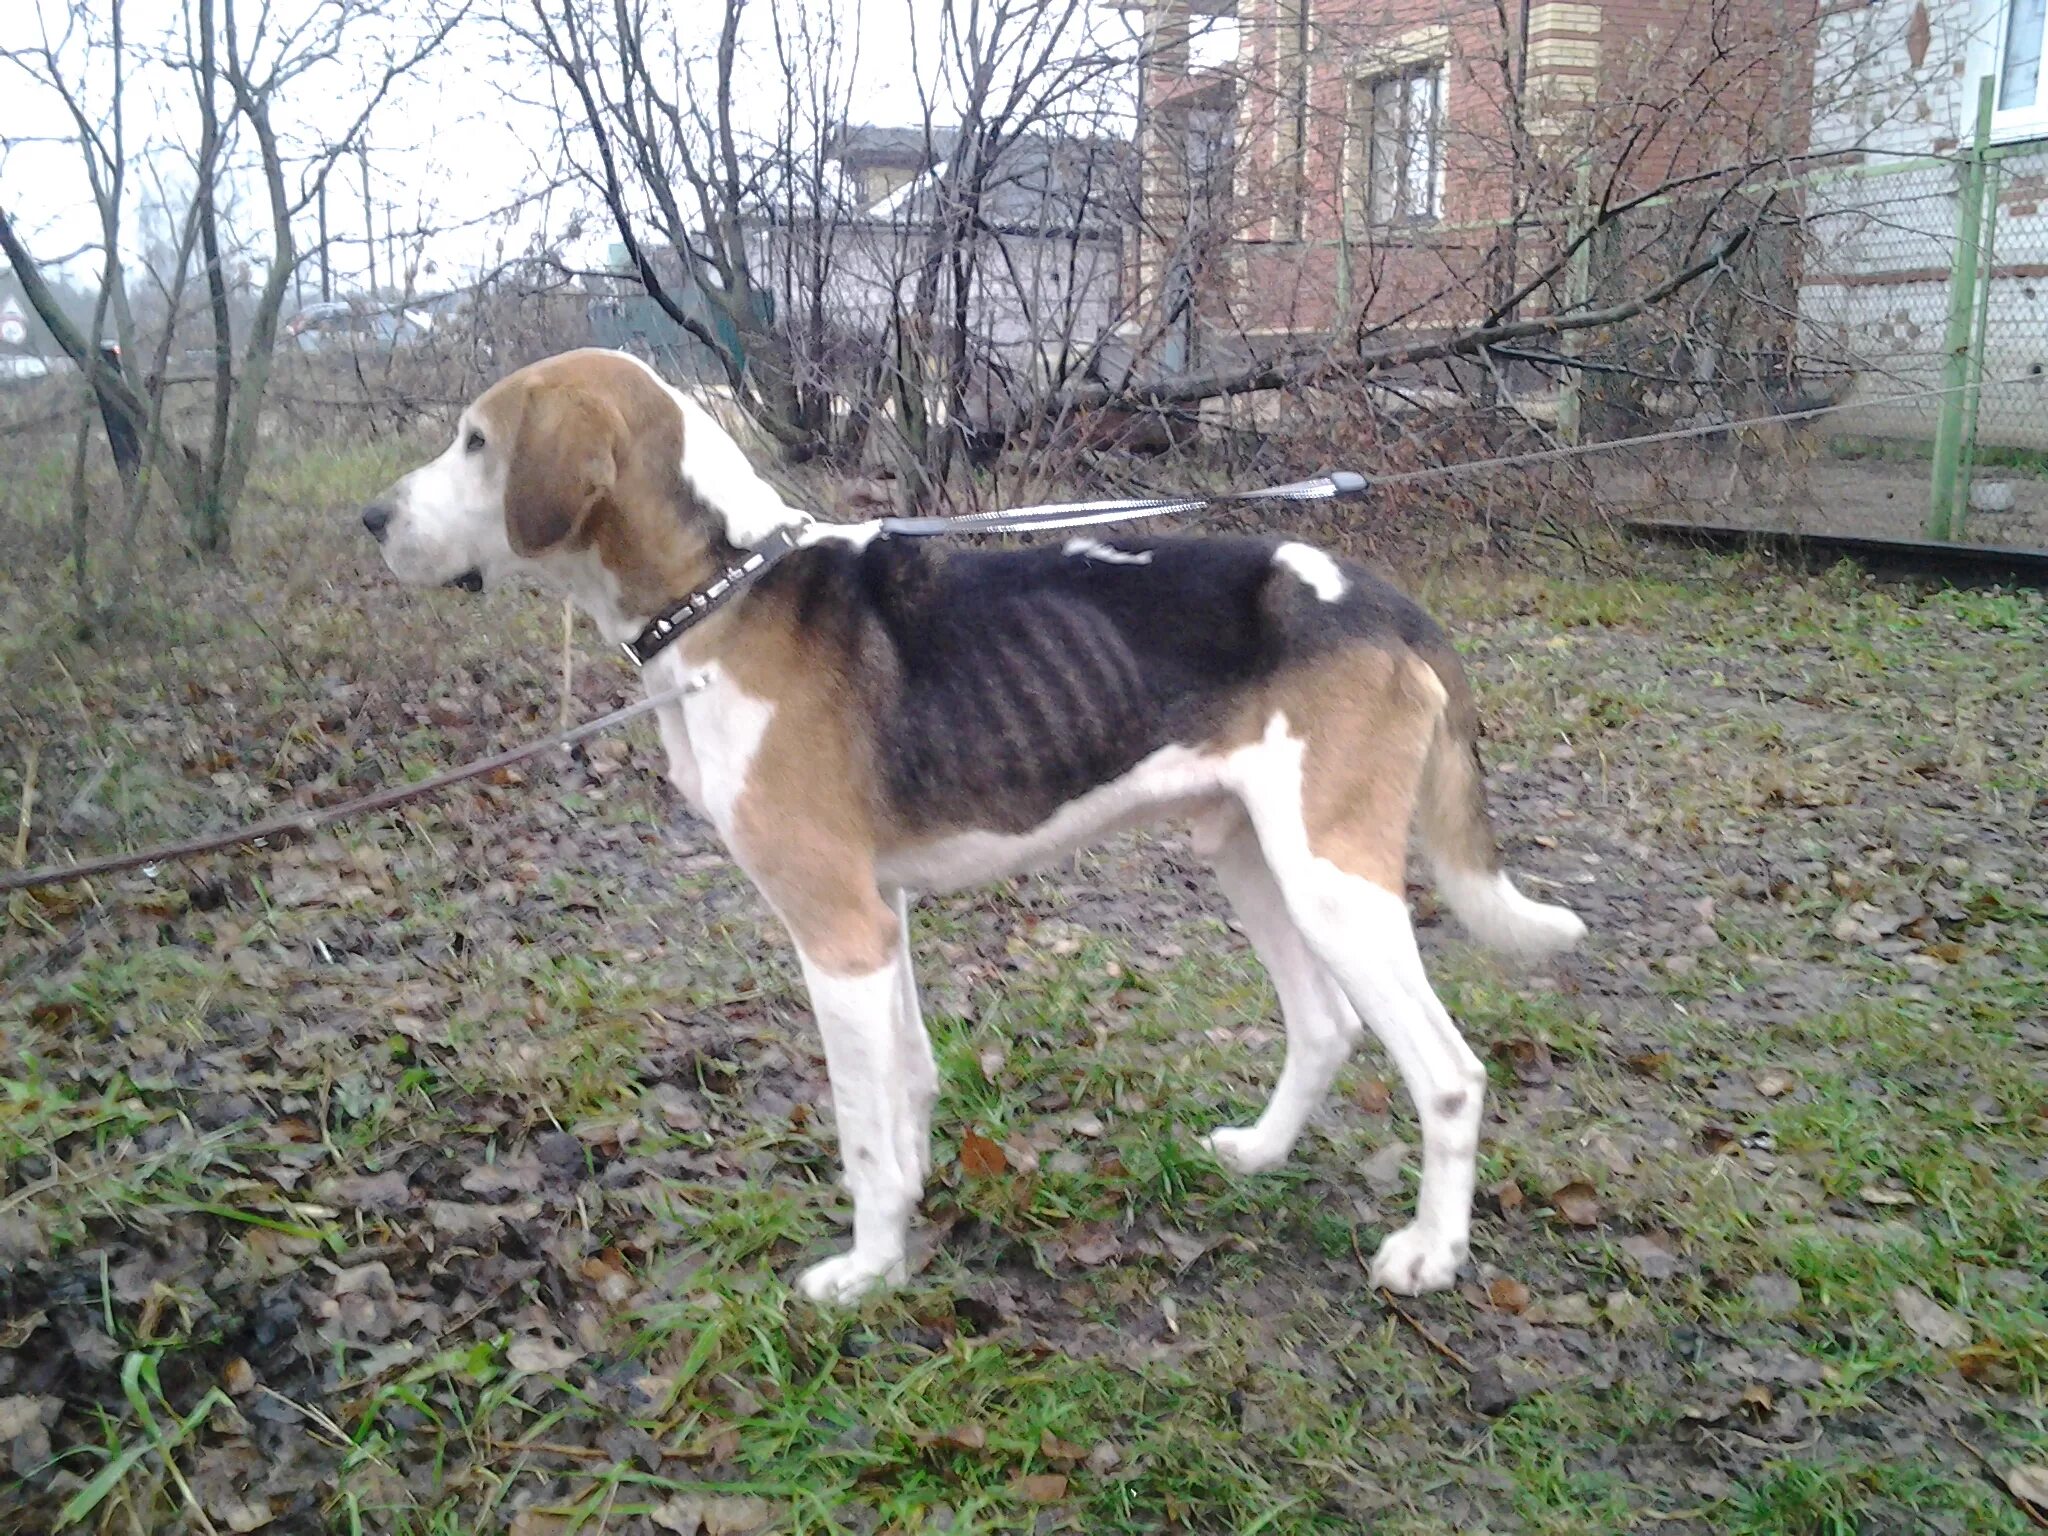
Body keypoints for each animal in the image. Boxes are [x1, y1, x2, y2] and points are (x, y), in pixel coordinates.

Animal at [360, 354, 1589, 1302]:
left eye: (476, 442)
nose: (370, 519)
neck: (726, 590)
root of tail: (1390, 604)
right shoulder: (884, 916)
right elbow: (905, 1089)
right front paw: (905, 1226)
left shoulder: (838, 933)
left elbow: (861, 1130)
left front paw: (863, 1274)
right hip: (1250, 857)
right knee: (1324, 1025)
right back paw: (1258, 1153)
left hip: (1332, 880)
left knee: (1448, 1075)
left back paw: (1431, 1252)